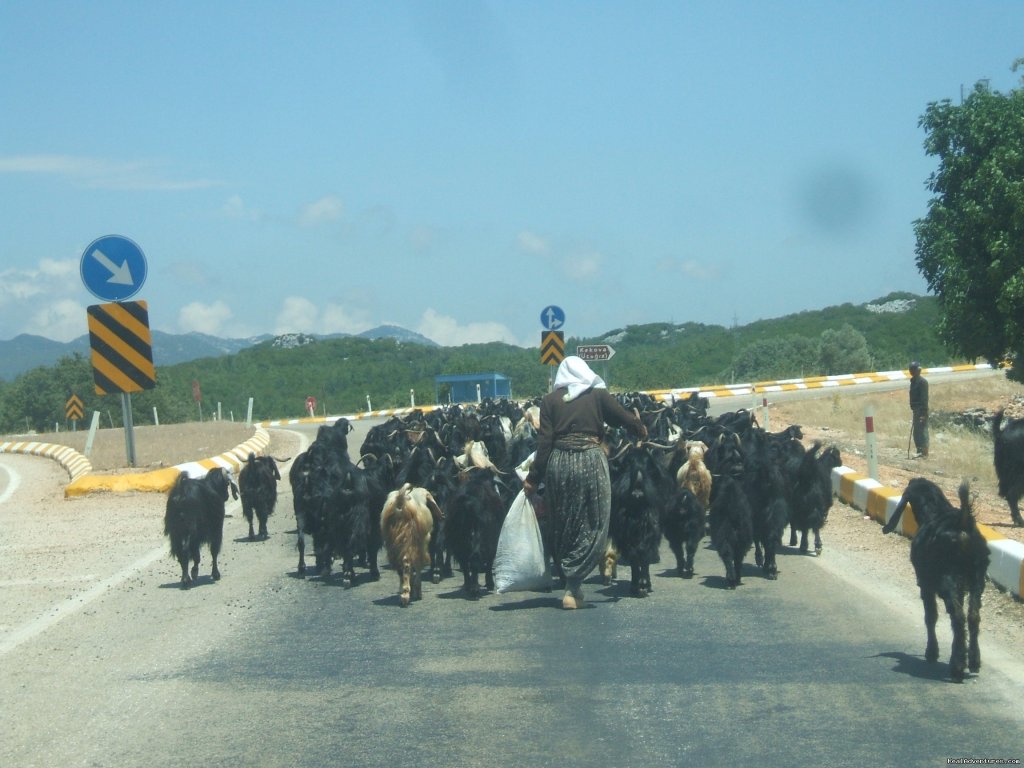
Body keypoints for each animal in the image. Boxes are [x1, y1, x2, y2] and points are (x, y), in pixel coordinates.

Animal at [909, 481, 987, 684]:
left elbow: (930, 617)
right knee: (973, 615)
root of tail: (962, 524)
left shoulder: (925, 584)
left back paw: (957, 666)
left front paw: (931, 652)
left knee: (958, 617)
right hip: (977, 579)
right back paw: (973, 661)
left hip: (948, 580)